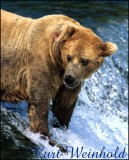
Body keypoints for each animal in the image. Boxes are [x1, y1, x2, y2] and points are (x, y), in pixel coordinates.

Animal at [1, 9, 117, 148]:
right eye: (69, 57)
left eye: (84, 61)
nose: (69, 78)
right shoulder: (42, 63)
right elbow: (39, 100)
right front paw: (49, 139)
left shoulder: (69, 80)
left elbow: (65, 104)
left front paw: (61, 126)